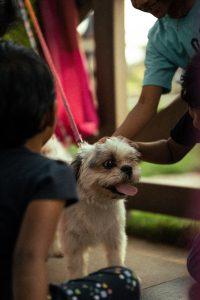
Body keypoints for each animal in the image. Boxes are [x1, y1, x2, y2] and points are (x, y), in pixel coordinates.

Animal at [57, 137, 140, 280]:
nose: (128, 168)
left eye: (131, 160)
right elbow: (76, 266)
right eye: (109, 163)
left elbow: (116, 259)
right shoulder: (73, 242)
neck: (97, 203)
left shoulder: (115, 237)